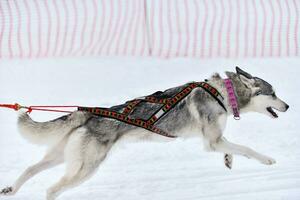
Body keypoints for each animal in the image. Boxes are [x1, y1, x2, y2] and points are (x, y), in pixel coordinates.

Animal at [0, 67, 288, 200]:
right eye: (273, 93)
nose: (287, 106)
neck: (223, 93)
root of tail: (88, 114)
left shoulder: (216, 140)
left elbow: (232, 149)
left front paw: (229, 160)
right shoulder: (212, 141)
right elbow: (246, 149)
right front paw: (267, 159)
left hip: (62, 156)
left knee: (31, 169)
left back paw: (11, 189)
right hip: (86, 167)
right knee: (52, 188)